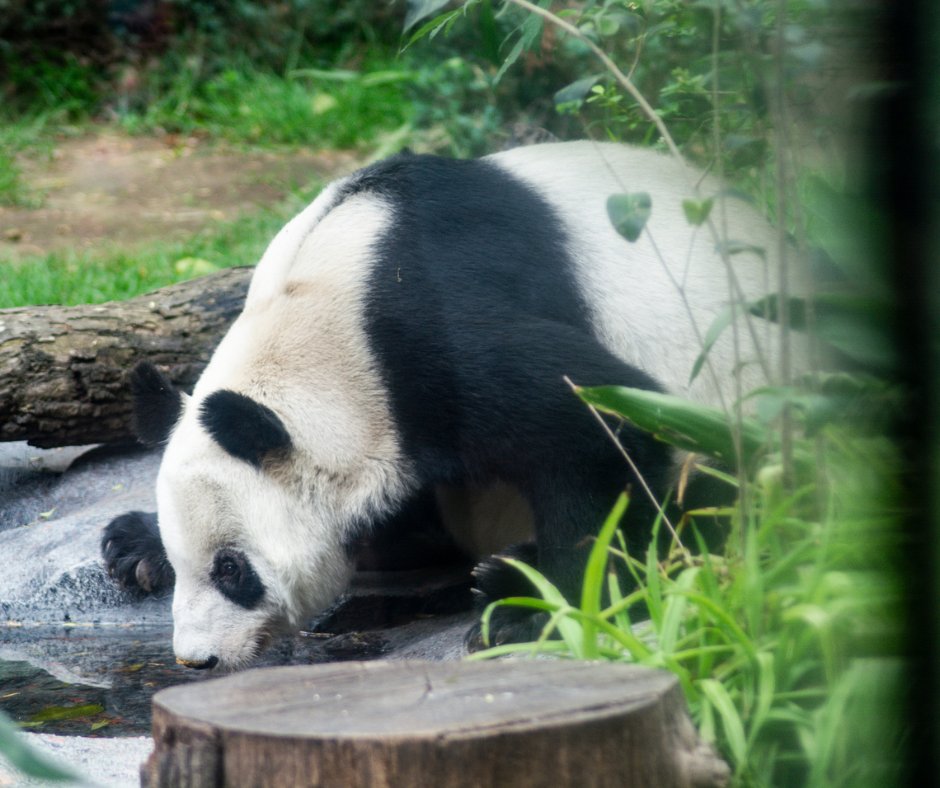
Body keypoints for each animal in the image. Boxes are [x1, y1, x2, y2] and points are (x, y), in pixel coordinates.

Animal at [102, 141, 792, 671]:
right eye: (186, 560)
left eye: (231, 570)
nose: (197, 658)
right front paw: (133, 544)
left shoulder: (432, 333)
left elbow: (600, 423)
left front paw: (552, 608)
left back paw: (510, 581)